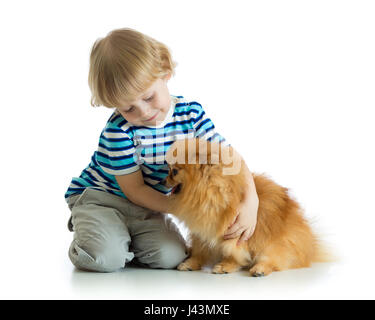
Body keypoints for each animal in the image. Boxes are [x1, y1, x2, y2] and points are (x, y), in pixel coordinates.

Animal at [166, 139, 330, 276]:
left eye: (174, 171)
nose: (163, 180)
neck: (210, 191)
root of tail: (310, 247)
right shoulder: (202, 231)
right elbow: (200, 250)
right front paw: (191, 263)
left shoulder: (235, 231)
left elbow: (232, 251)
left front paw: (226, 266)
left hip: (276, 244)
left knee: (275, 260)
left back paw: (260, 269)